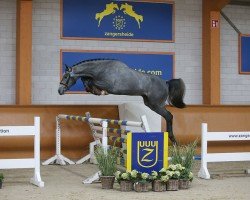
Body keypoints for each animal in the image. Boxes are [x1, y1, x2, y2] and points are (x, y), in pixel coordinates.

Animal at [58, 58, 186, 145]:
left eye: (65, 77)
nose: (59, 91)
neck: (100, 69)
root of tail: (166, 82)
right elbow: (88, 84)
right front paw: (95, 90)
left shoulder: (108, 85)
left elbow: (91, 82)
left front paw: (101, 92)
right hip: (150, 103)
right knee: (168, 116)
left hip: (156, 104)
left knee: (169, 116)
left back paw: (173, 140)